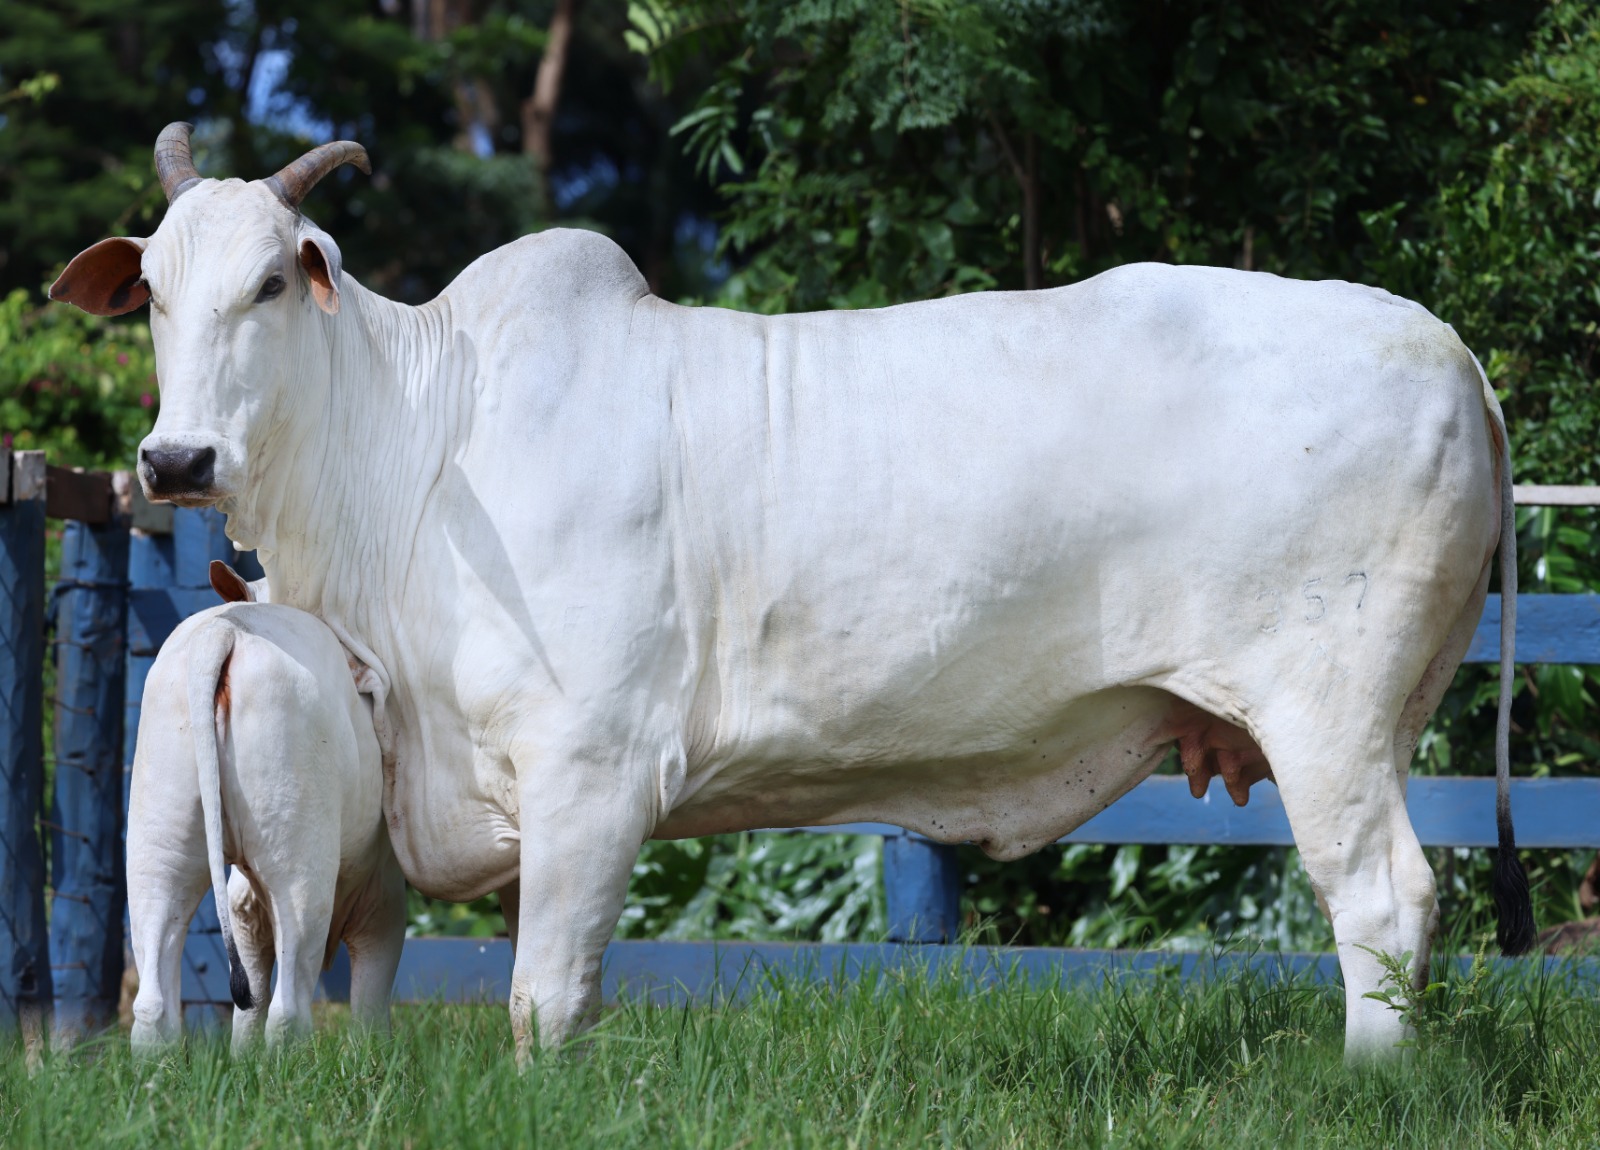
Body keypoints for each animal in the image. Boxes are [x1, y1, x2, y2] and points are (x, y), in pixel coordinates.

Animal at [125, 560, 406, 1054]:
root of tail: (225, 631)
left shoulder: (243, 908)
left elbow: (247, 1007)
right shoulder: (383, 901)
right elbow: (369, 1015)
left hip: (157, 838)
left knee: (154, 998)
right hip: (300, 863)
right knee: (288, 1006)